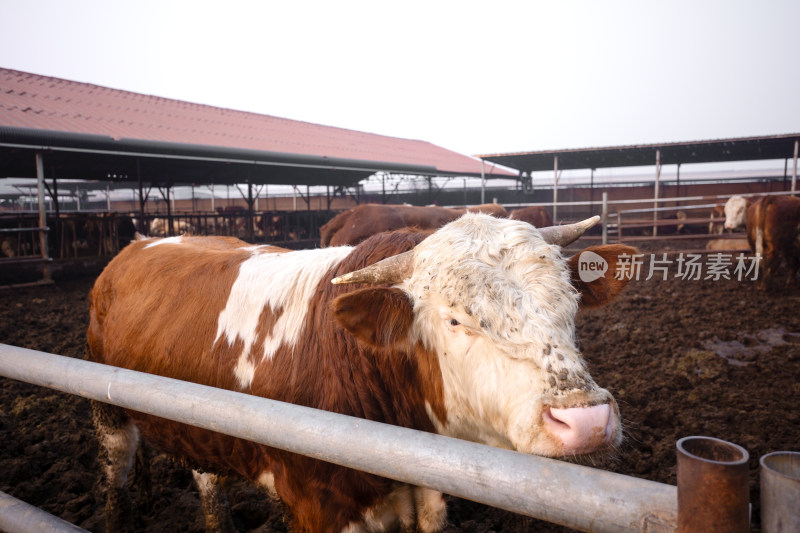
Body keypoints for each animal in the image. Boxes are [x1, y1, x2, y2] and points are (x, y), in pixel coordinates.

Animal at [86, 214, 636, 532]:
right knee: (116, 474)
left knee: (205, 478)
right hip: (108, 411)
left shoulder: (423, 499)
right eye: (454, 320)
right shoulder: (320, 508)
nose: (586, 422)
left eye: (570, 302)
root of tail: (139, 244)